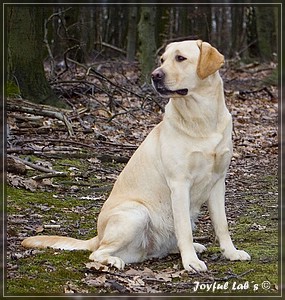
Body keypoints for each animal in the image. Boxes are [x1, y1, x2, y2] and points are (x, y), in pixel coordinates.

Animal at [21, 39, 248, 272]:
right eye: (162, 59)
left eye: (180, 58)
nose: (155, 75)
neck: (203, 120)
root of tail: (98, 235)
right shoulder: (179, 184)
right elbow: (184, 228)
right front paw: (191, 262)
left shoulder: (218, 181)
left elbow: (222, 224)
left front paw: (231, 253)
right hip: (137, 213)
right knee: (97, 252)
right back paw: (113, 260)